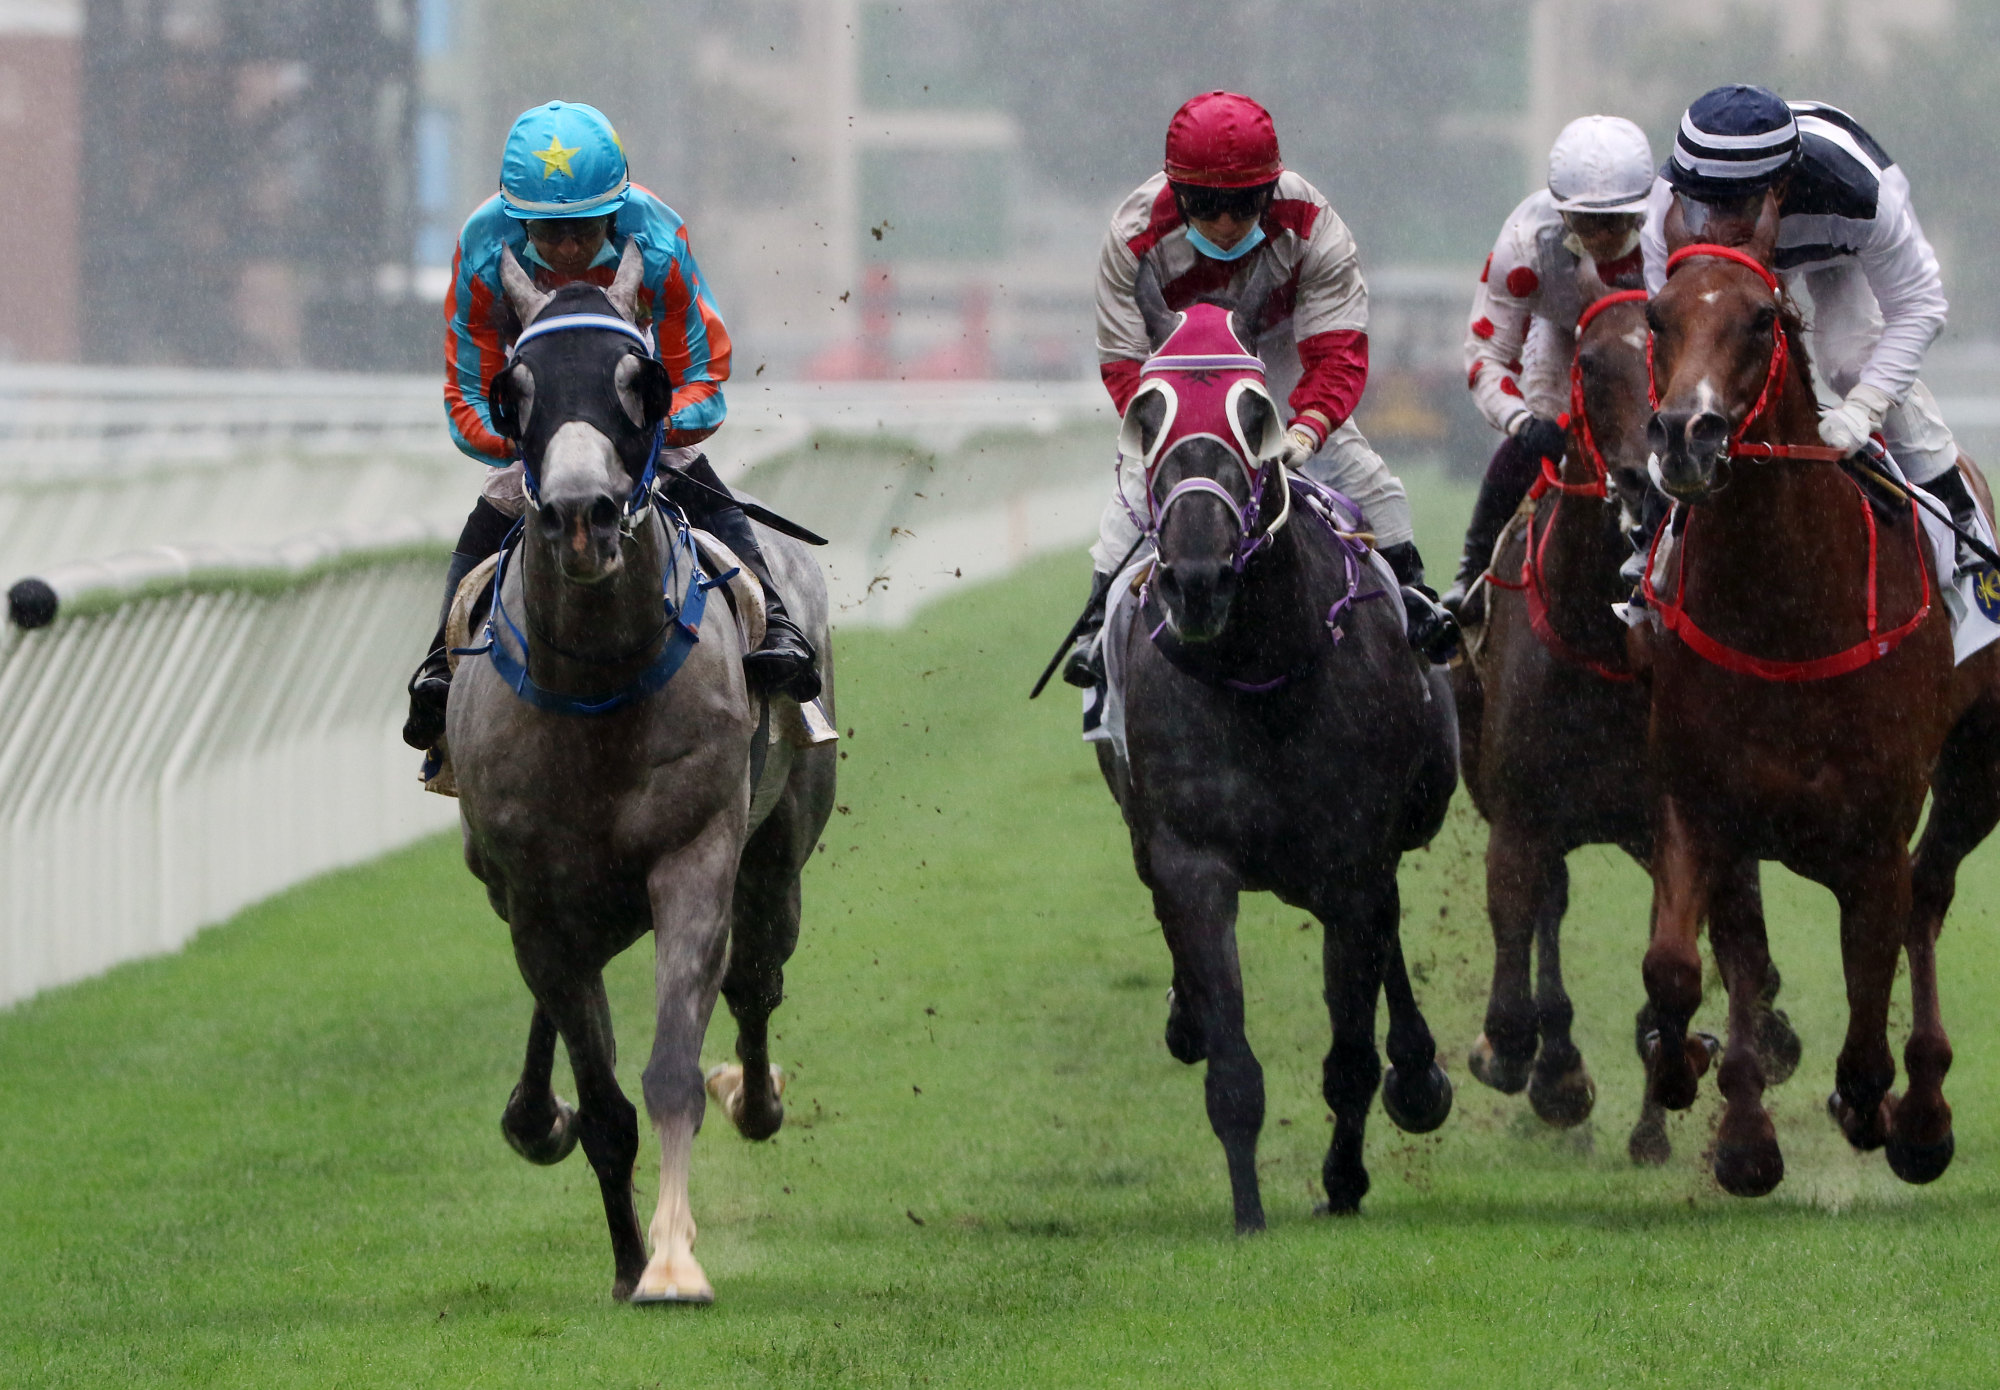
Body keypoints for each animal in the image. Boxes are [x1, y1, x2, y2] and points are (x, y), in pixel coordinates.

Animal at [448, 247, 836, 1304]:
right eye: (515, 389)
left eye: (640, 381)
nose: (582, 516)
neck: (597, 692)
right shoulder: (537, 897)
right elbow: (603, 1100)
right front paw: (629, 1260)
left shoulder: (693, 857)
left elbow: (669, 1071)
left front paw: (670, 1259)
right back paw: (534, 1113)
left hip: (778, 856)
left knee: (756, 981)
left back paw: (754, 1093)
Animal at [1096, 304, 1456, 1232]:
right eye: (1148, 419)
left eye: (1254, 419)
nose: (1196, 578)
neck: (1259, 674)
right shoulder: (1191, 861)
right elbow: (1233, 1068)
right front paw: (1249, 1212)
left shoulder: (1351, 861)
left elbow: (1351, 1053)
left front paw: (1344, 1180)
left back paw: (1419, 1075)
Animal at [1448, 282, 1808, 1160]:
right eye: (1586, 363)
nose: (1651, 480)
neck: (1600, 639)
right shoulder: (1520, 811)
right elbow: (1521, 927)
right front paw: (1530, 1061)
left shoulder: (1673, 815)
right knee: (1550, 910)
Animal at [1640, 204, 2000, 1200]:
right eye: (1654, 316)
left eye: (1763, 319)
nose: (1686, 434)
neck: (1786, 614)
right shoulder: (1701, 804)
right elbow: (1681, 967)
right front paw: (1717, 1104)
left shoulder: (1873, 832)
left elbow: (1869, 1011)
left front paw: (1878, 1106)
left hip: (1976, 774)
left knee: (1927, 894)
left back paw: (1922, 1114)